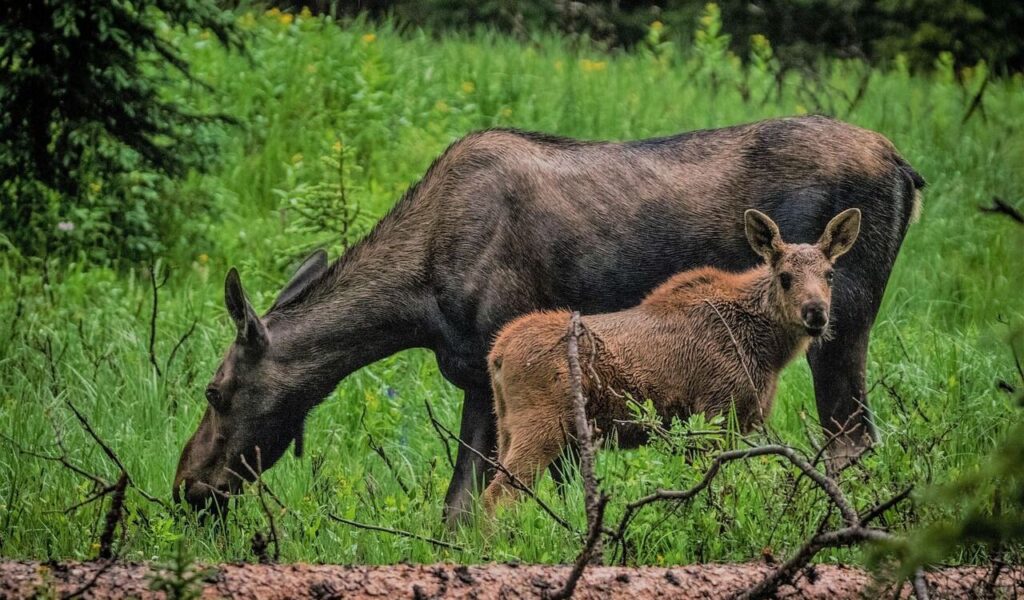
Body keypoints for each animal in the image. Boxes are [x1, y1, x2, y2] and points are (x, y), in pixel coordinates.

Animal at [482, 208, 862, 511]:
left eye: (829, 274)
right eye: (785, 277)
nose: (816, 313)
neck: (769, 350)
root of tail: (497, 354)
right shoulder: (715, 411)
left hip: (508, 425)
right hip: (542, 425)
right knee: (497, 495)